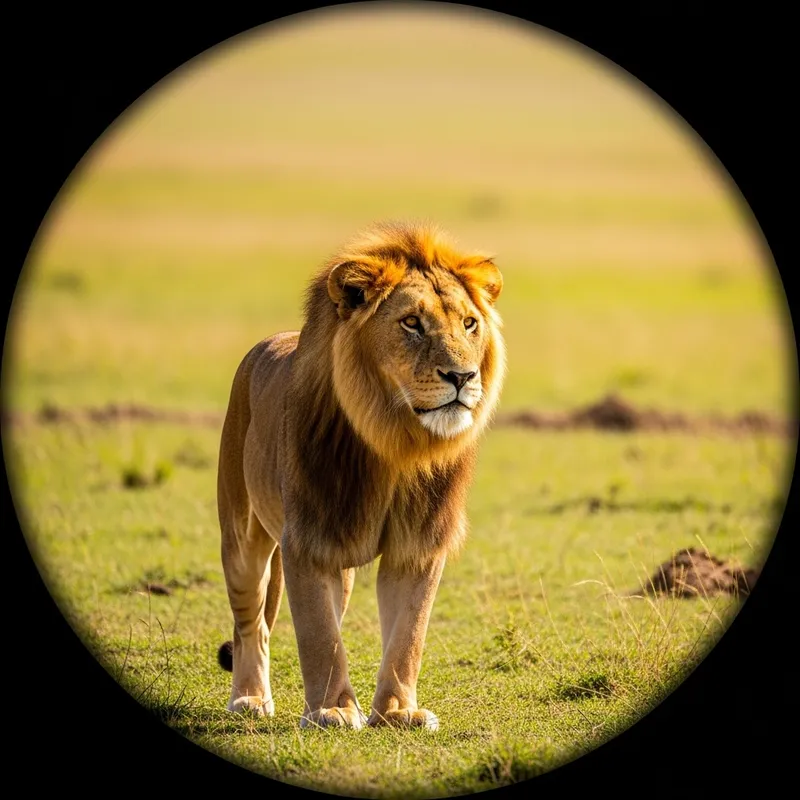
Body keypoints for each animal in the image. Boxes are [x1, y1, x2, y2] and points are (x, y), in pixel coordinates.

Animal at [216, 220, 505, 730]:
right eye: (411, 323)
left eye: (470, 324)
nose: (463, 376)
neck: (395, 442)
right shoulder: (309, 539)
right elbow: (320, 636)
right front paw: (331, 710)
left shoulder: (418, 545)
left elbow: (408, 636)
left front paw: (397, 712)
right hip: (241, 535)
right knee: (251, 621)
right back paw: (249, 699)